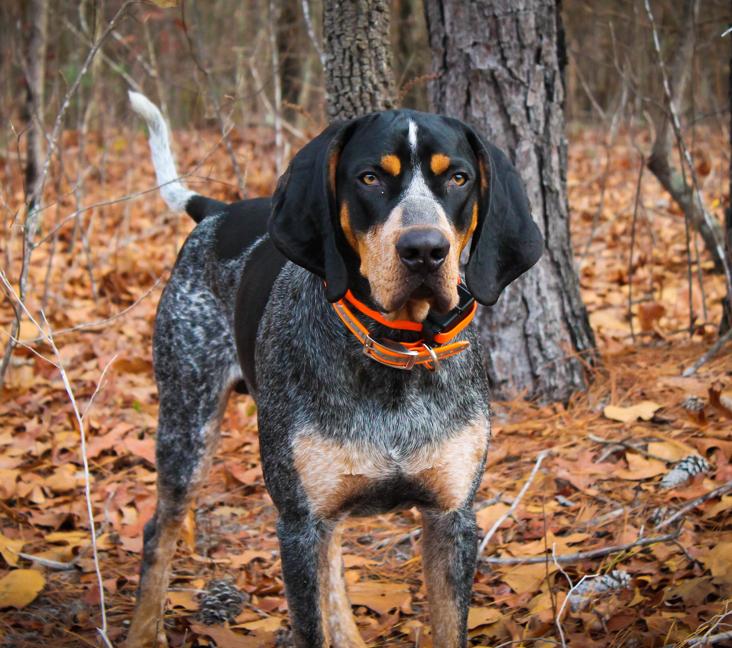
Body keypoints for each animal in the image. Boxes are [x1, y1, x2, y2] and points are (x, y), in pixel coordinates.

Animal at [126, 91, 540, 648]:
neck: (397, 355)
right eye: (369, 178)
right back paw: (140, 631)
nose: (424, 250)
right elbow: (310, 621)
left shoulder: (451, 518)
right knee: (159, 531)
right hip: (187, 424)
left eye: (458, 178)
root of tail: (220, 211)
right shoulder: (299, 523)